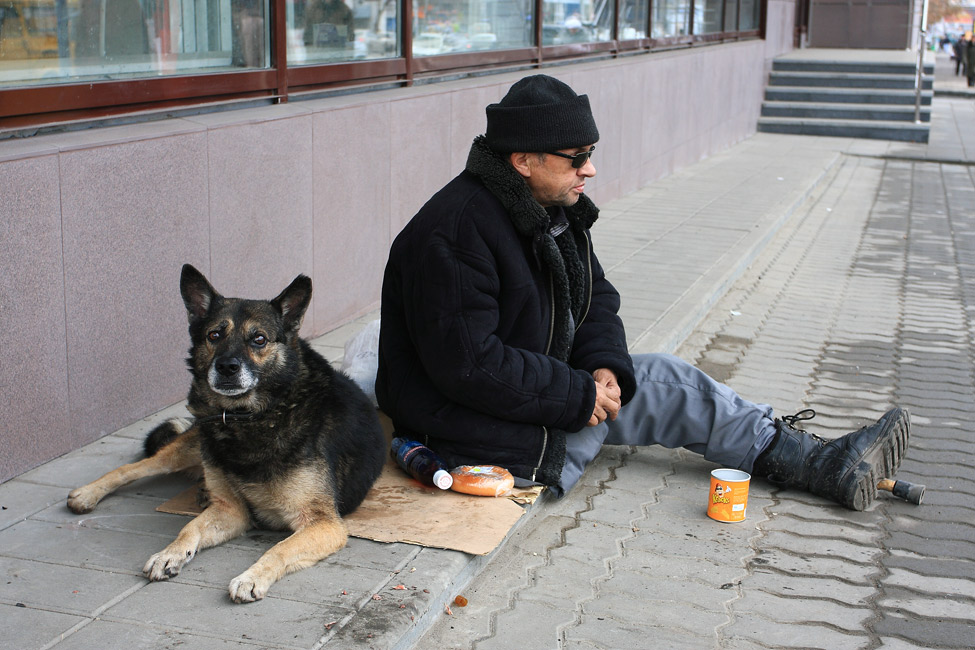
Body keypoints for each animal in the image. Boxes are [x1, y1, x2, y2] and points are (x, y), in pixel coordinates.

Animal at [66, 264, 386, 604]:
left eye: (259, 339)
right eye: (214, 335)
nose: (227, 367)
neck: (251, 416)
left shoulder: (323, 524)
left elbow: (279, 548)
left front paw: (251, 577)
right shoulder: (231, 510)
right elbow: (189, 528)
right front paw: (169, 554)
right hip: (192, 447)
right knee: (134, 467)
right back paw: (87, 493)